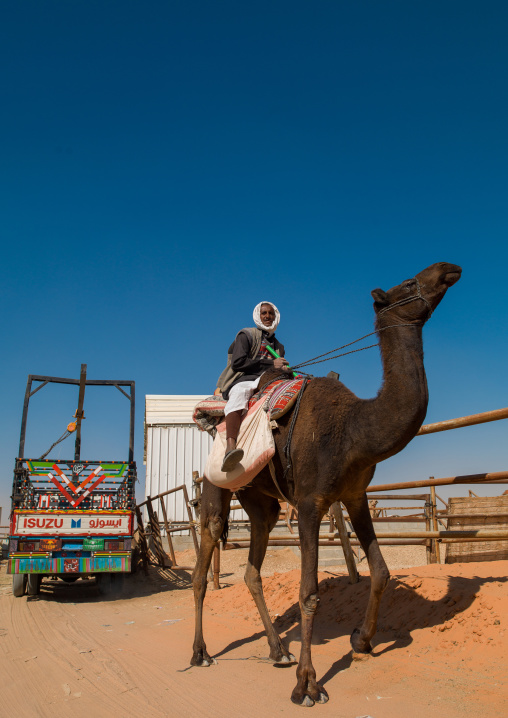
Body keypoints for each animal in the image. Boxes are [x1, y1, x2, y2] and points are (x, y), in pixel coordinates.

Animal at [190, 261, 462, 707]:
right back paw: (201, 653)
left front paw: (361, 640)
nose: (448, 269)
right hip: (216, 487)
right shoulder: (310, 502)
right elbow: (309, 593)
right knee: (205, 554)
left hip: (260, 501)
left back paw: (277, 651)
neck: (354, 430)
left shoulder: (355, 495)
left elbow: (381, 571)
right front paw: (308, 685)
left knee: (253, 566)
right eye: (408, 282)